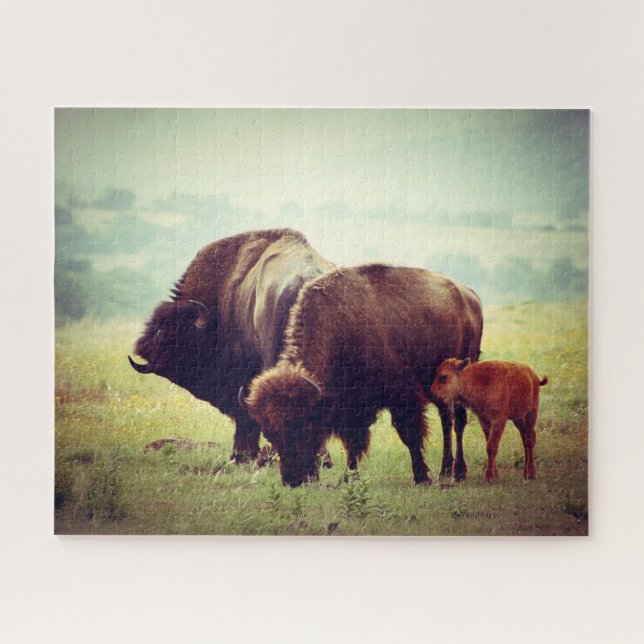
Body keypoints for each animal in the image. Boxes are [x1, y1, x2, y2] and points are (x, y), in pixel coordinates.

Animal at [246, 264, 483, 487]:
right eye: (269, 433)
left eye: (304, 425)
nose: (292, 480)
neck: (341, 327)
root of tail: (470, 295)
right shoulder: (351, 408)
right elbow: (353, 443)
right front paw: (349, 478)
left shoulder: (403, 398)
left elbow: (409, 435)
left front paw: (421, 477)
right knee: (446, 419)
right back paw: (445, 470)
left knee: (458, 421)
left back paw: (458, 472)